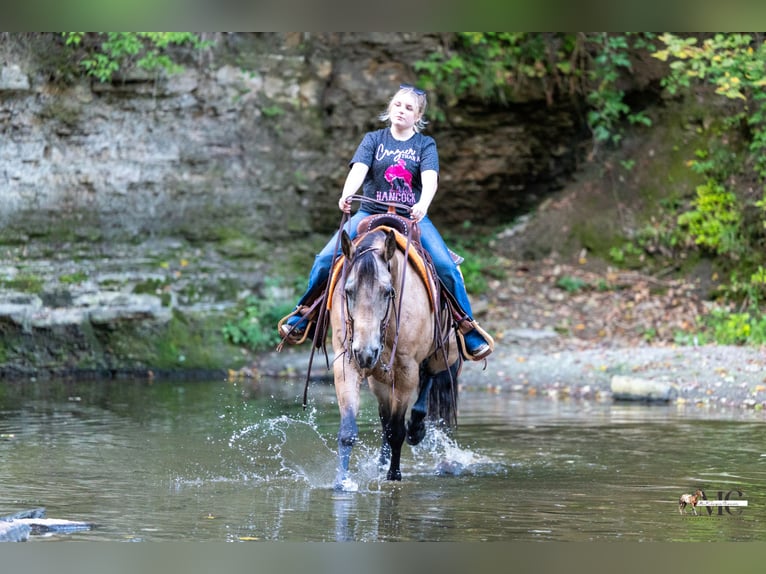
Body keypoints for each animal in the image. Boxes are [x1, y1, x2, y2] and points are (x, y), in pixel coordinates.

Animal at [329, 225, 461, 489]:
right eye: (348, 291)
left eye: (387, 292)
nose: (366, 352)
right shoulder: (346, 363)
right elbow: (349, 430)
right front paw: (341, 482)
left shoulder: (406, 371)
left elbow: (397, 430)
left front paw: (394, 476)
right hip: (378, 378)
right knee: (385, 418)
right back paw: (382, 461)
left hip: (443, 354)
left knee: (427, 381)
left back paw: (416, 430)